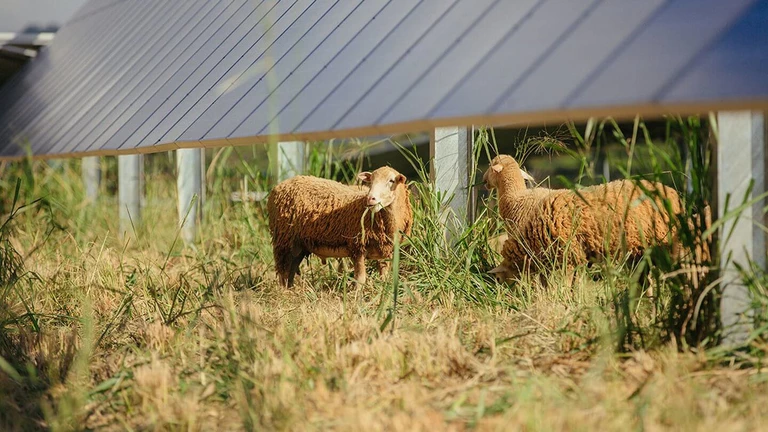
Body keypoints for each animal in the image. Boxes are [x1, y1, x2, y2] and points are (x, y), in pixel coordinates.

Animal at [267, 166, 412, 288]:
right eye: (370, 181)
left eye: (391, 180)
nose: (370, 198)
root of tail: (279, 185)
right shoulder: (357, 247)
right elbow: (360, 280)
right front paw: (356, 298)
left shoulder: (385, 251)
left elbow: (384, 277)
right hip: (283, 240)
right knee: (283, 271)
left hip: (298, 245)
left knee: (290, 270)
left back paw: (291, 290)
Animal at [484, 155, 685, 282]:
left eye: (491, 167)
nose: (483, 180)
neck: (516, 199)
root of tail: (675, 195)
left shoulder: (566, 255)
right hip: (642, 251)